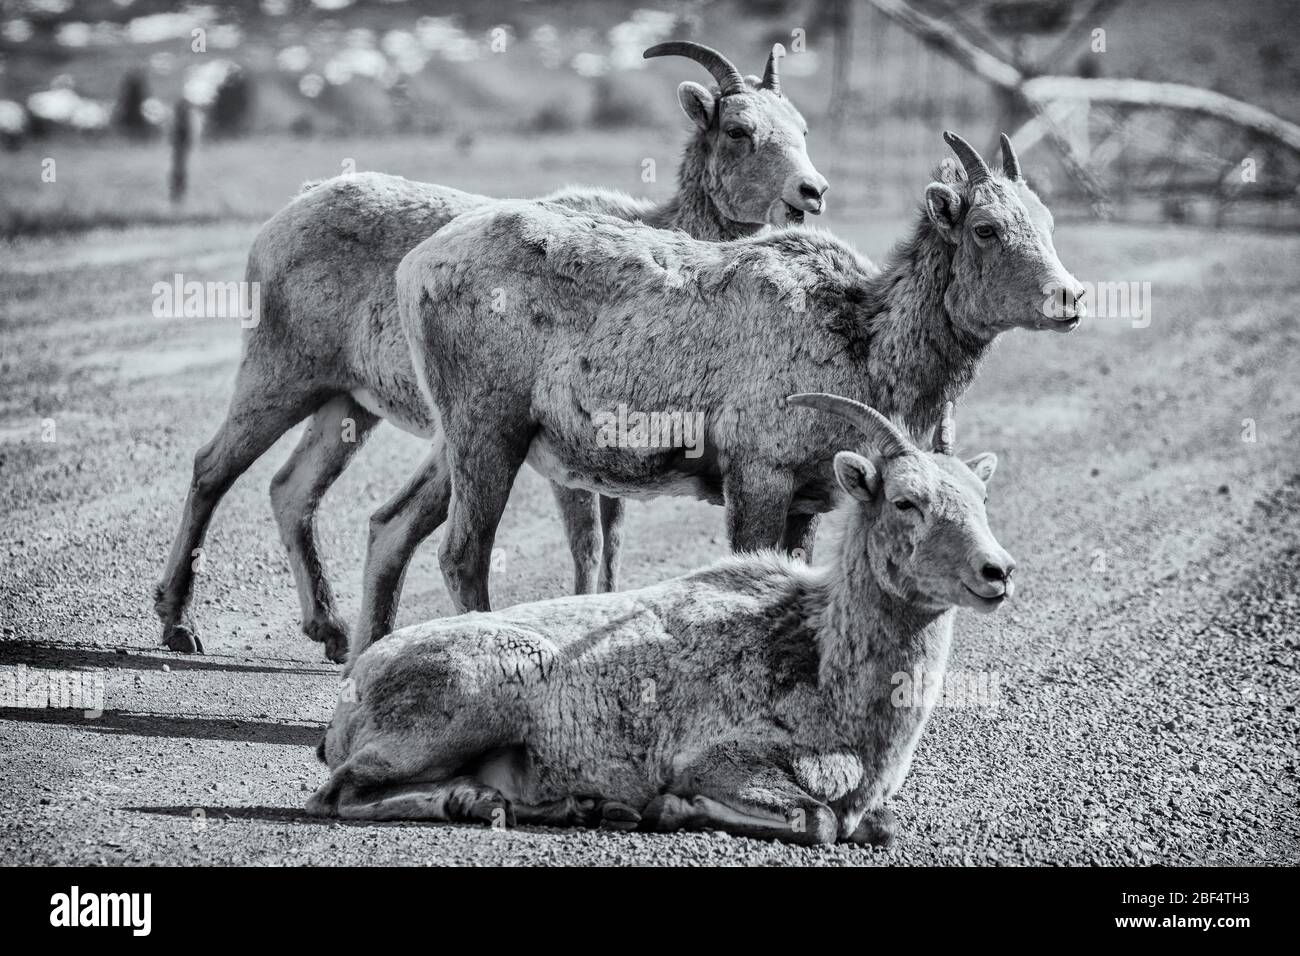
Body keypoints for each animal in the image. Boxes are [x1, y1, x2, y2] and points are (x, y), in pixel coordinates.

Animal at [149, 39, 821, 665]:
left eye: (803, 129)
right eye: (739, 131)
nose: (810, 192)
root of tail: (295, 206)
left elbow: (612, 540)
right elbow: (588, 544)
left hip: (347, 406)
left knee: (292, 490)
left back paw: (334, 634)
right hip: (281, 376)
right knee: (212, 470)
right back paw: (180, 625)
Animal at [306, 392, 1013, 848]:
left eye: (981, 498)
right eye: (906, 501)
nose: (997, 572)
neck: (824, 666)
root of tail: (354, 692)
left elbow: (878, 826)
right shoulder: (726, 761)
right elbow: (820, 821)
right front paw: (671, 808)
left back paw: (563, 805)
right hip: (473, 700)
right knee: (337, 794)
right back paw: (487, 802)